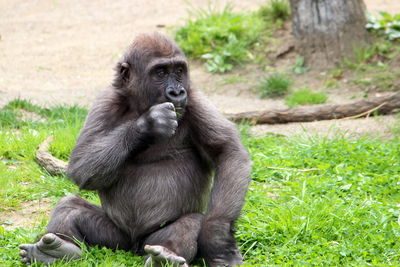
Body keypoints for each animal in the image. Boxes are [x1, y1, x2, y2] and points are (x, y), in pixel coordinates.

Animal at [20, 32, 252, 266]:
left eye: (179, 71)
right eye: (160, 72)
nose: (177, 91)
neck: (140, 104)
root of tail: (134, 247)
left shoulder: (195, 100)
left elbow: (227, 152)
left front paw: (217, 240)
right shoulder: (105, 101)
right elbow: (81, 165)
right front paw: (148, 125)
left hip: (149, 241)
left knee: (190, 222)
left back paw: (166, 256)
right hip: (115, 239)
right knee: (69, 207)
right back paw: (56, 250)